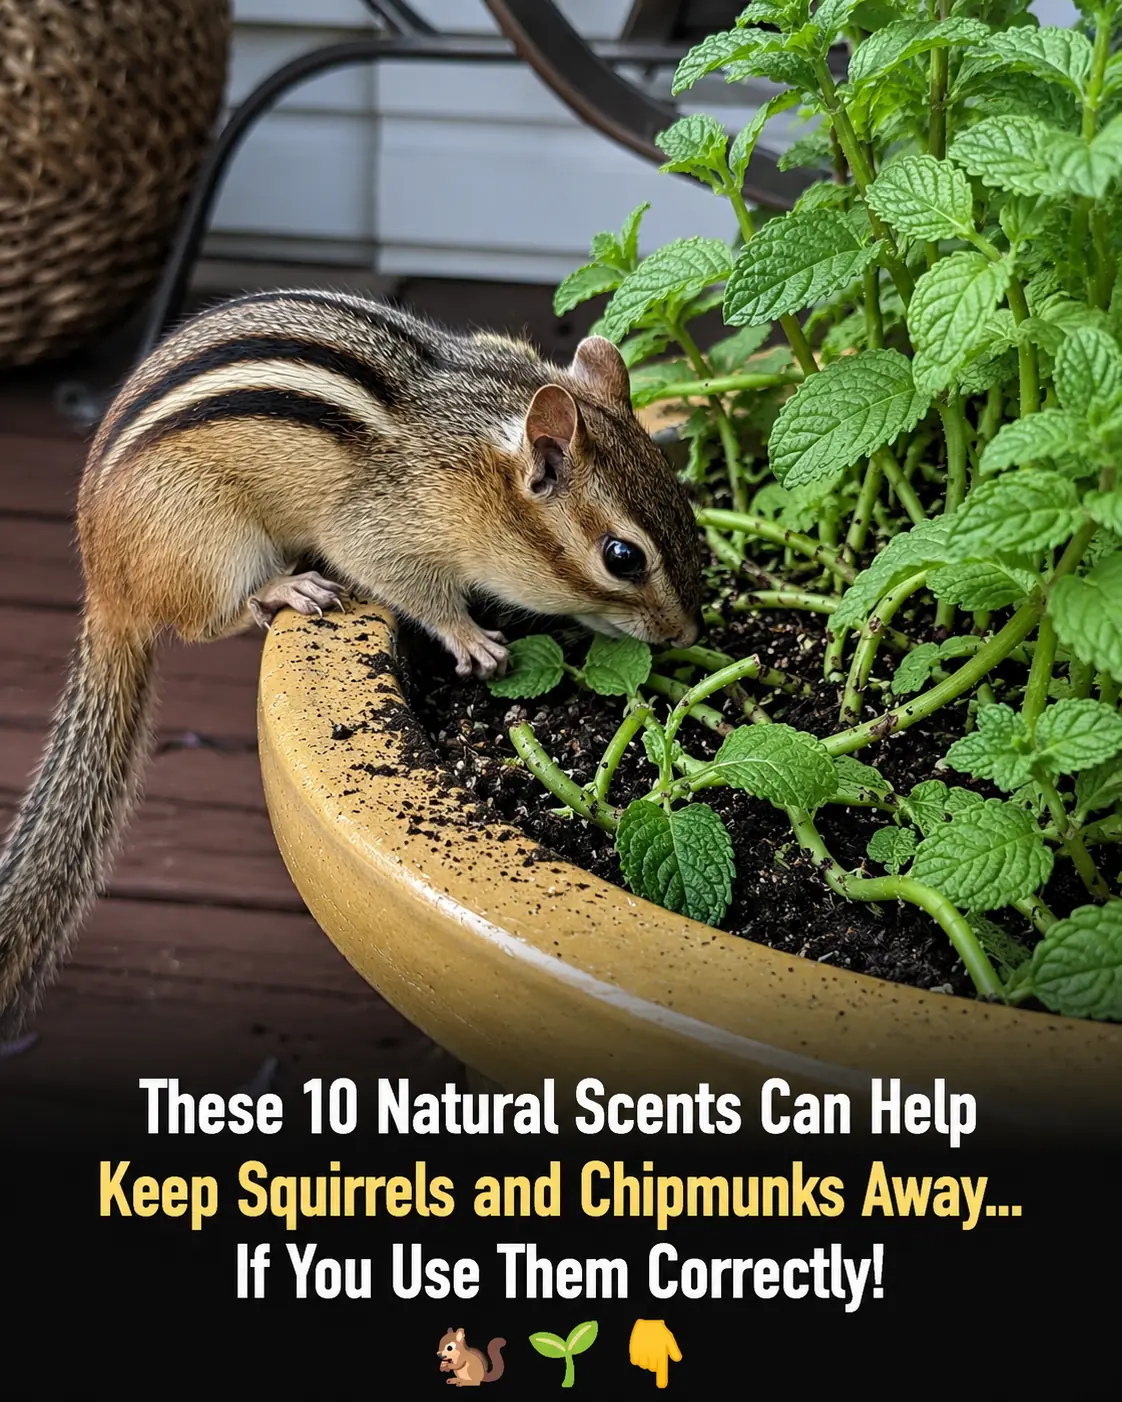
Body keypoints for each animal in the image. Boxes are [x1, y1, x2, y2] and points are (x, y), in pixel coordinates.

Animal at [0, 287, 703, 1037]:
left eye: (681, 496)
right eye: (623, 558)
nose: (689, 631)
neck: (478, 447)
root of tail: (104, 582)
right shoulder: (382, 531)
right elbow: (407, 585)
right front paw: (471, 638)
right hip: (212, 542)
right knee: (204, 621)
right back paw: (288, 589)